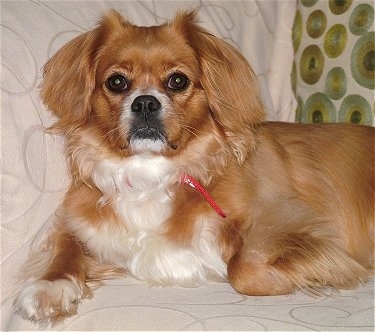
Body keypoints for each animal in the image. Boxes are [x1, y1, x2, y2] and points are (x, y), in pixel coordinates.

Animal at [13, 10, 374, 324]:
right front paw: (50, 286)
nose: (145, 102)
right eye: (116, 82)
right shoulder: (79, 225)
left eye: (177, 81)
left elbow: (241, 269)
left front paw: (314, 276)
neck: (152, 176)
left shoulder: (294, 224)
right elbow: (64, 249)